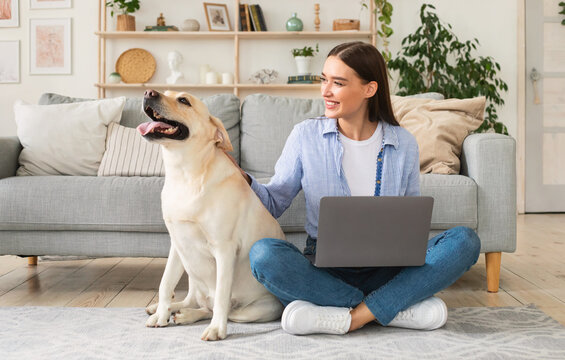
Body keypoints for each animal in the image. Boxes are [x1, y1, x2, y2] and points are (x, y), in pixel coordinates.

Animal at [137, 89, 286, 340]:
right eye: (166, 93)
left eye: (184, 100)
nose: (149, 92)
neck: (186, 174)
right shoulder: (177, 244)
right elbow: (165, 283)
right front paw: (161, 314)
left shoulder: (224, 249)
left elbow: (221, 297)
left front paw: (217, 329)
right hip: (193, 275)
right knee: (195, 301)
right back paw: (166, 309)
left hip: (253, 311)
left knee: (218, 308)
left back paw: (188, 315)